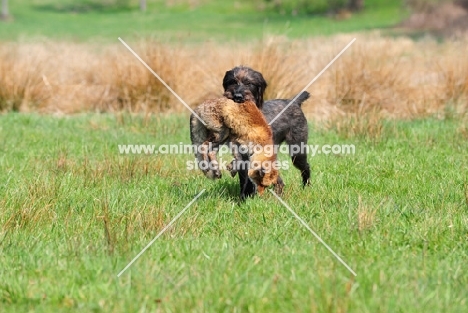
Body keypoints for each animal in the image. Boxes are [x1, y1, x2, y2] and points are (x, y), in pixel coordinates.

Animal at [223, 65, 310, 197]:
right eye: (232, 82)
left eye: (249, 83)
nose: (237, 96)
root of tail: (294, 102)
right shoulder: (241, 155)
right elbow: (244, 179)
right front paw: (244, 197)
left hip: (297, 150)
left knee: (305, 167)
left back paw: (305, 187)